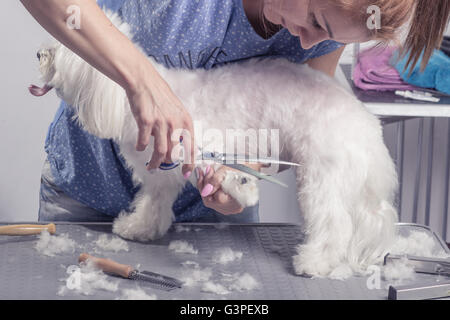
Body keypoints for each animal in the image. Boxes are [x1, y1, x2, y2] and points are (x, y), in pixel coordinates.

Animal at [29, 11, 400, 278]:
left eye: (59, 51)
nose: (39, 52)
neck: (126, 95)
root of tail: (364, 124)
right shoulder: (160, 176)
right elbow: (153, 204)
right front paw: (140, 228)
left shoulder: (197, 146)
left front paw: (242, 188)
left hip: (322, 179)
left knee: (334, 225)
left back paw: (315, 262)